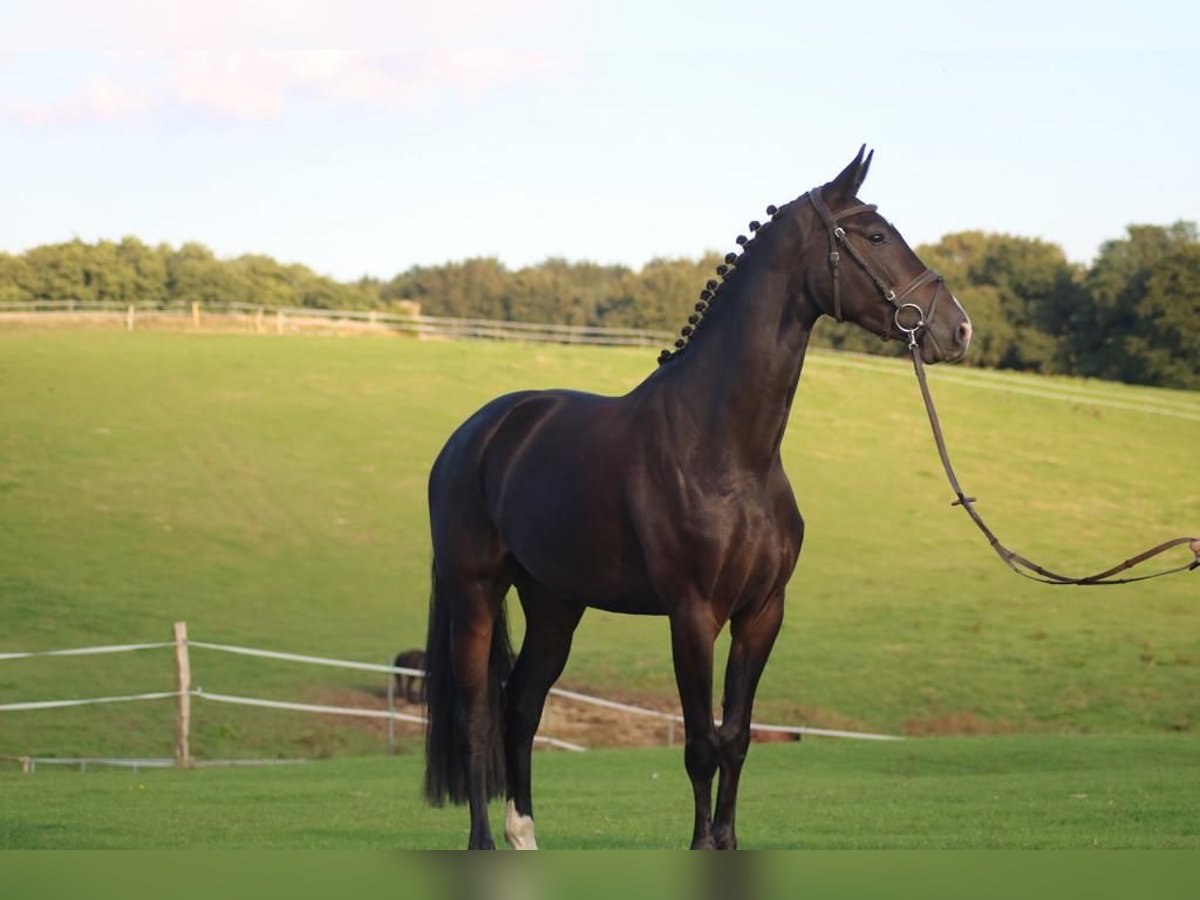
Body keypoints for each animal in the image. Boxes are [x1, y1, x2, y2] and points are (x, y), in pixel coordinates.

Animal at [417, 148, 969, 854]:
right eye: (874, 235)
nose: (958, 328)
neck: (727, 450)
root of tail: (475, 435)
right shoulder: (693, 615)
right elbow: (700, 742)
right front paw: (702, 844)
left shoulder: (761, 614)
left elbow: (736, 737)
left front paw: (726, 841)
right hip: (476, 593)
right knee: (477, 717)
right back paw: (484, 843)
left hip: (555, 606)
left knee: (522, 707)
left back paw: (525, 837)